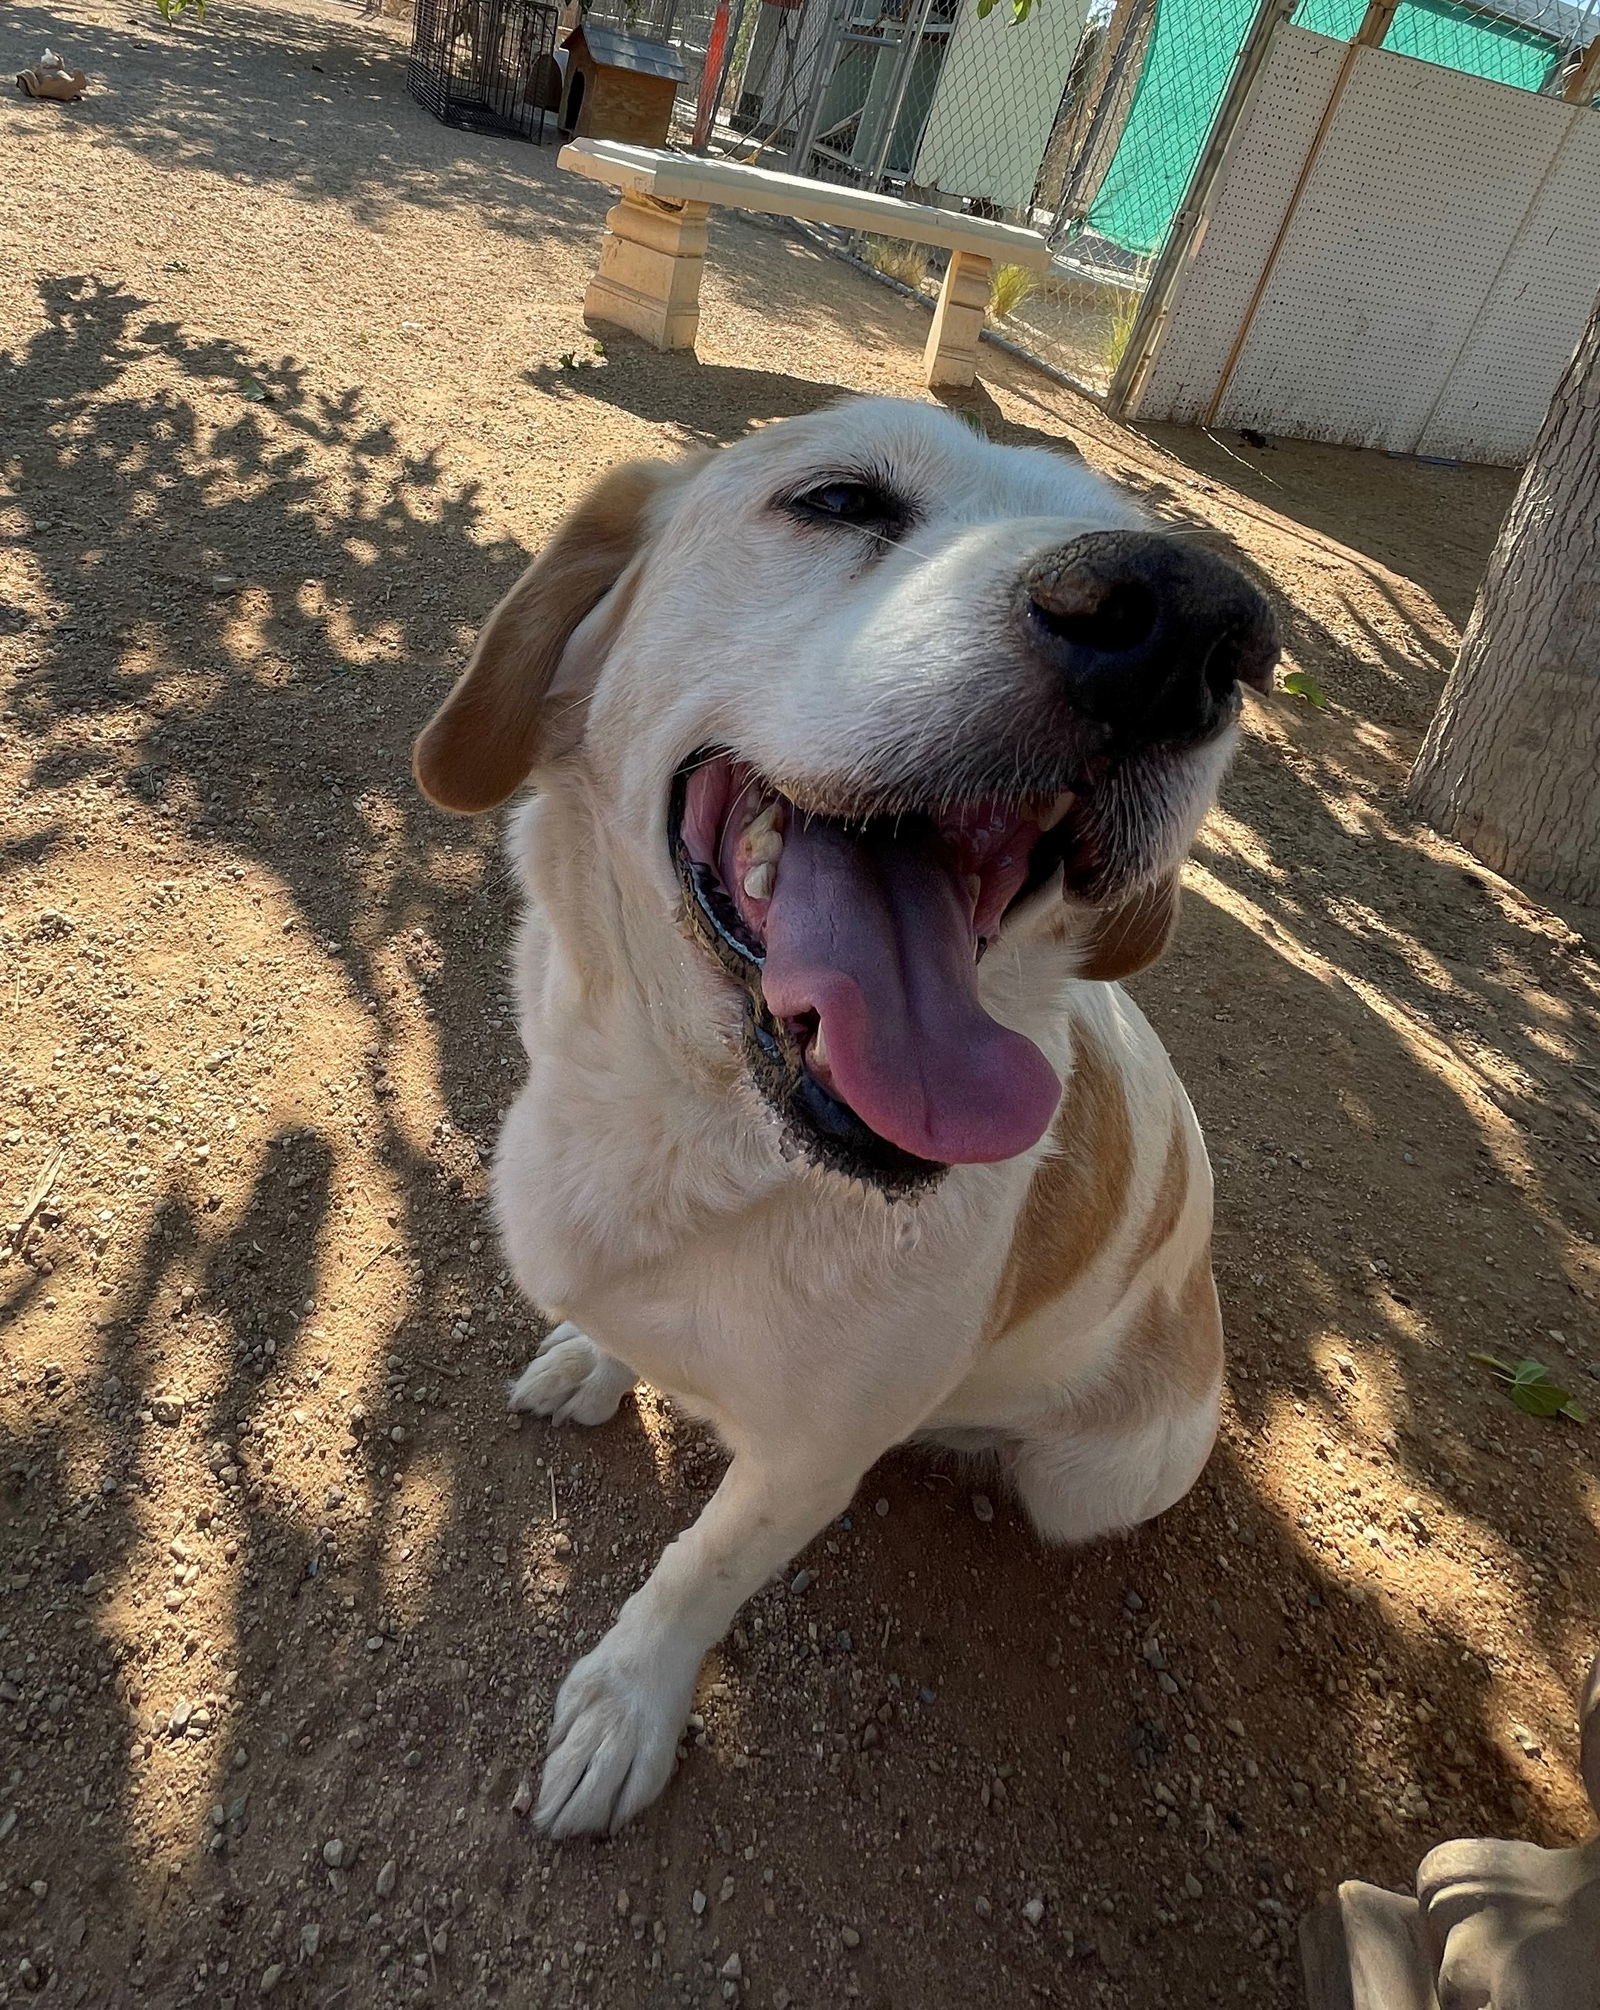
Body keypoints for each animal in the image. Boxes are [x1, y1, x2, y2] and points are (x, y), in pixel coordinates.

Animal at [412, 391, 1278, 1841]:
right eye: (838, 500)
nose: (1192, 623)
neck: (700, 1138)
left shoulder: (806, 1465)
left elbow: (695, 1573)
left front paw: (627, 1706)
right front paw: (596, 1358)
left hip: (1093, 1479)